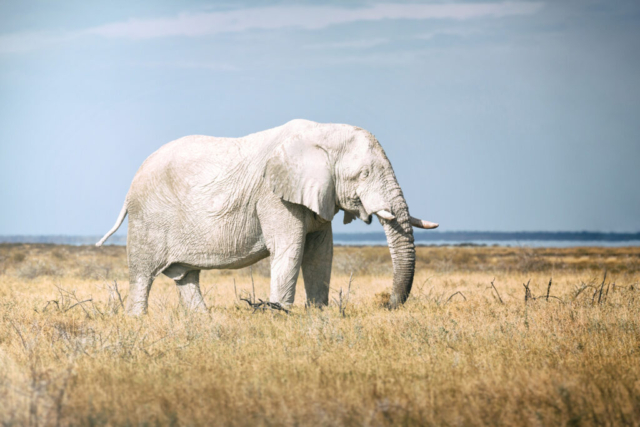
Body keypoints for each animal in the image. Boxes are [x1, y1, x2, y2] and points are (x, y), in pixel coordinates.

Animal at [95, 119, 438, 314]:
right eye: (364, 174)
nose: (388, 305)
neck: (323, 134)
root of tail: (131, 184)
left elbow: (320, 253)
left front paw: (318, 314)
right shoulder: (273, 195)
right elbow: (291, 248)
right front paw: (280, 314)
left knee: (186, 276)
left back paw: (202, 321)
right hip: (148, 218)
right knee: (143, 275)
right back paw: (137, 321)